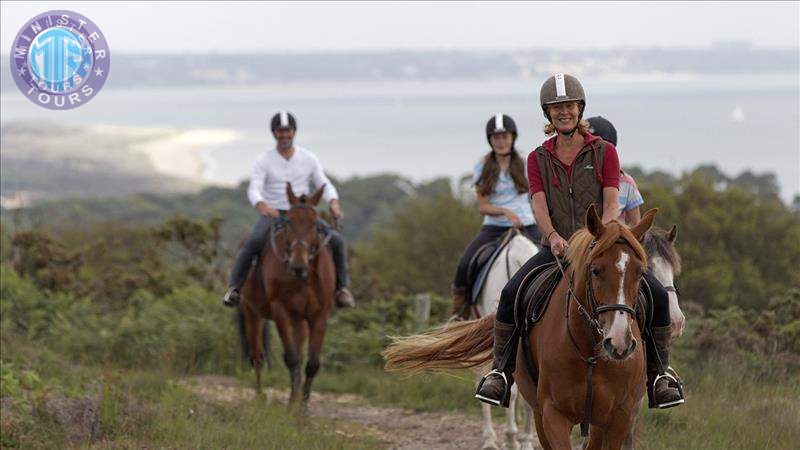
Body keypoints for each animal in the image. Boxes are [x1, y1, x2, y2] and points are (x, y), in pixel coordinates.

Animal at [239, 182, 336, 412]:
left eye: (315, 224)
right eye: (290, 223)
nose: (298, 265)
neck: (304, 279)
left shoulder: (319, 316)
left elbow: (311, 364)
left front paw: (303, 407)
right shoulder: (281, 311)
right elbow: (291, 358)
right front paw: (291, 405)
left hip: (299, 320)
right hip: (252, 313)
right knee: (257, 357)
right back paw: (260, 397)